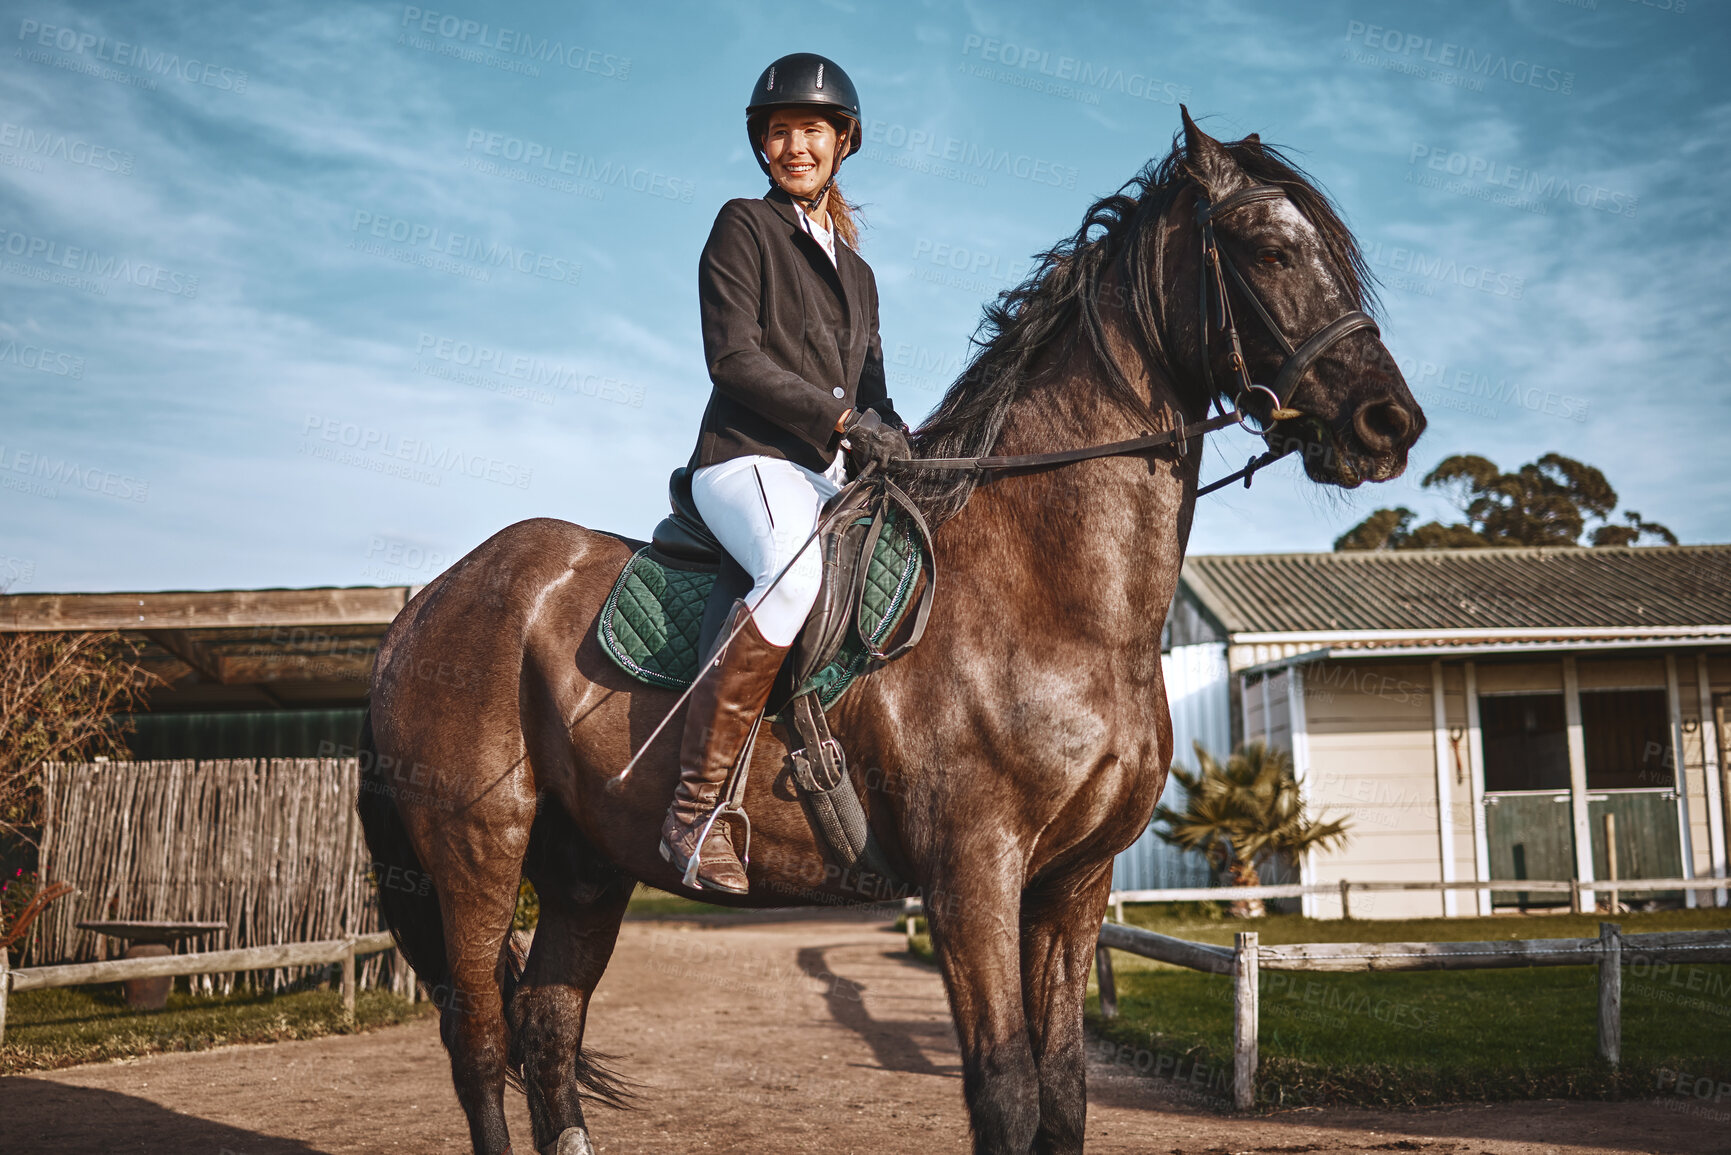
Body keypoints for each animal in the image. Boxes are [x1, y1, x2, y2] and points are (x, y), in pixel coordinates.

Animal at [361, 115, 1419, 1155]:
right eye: (1269, 249)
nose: (1390, 423)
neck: (1054, 594)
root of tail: (429, 602)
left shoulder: (1073, 883)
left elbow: (1065, 1094)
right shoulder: (973, 874)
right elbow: (1006, 1092)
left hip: (585, 867)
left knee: (547, 1028)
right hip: (480, 853)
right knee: (480, 1043)